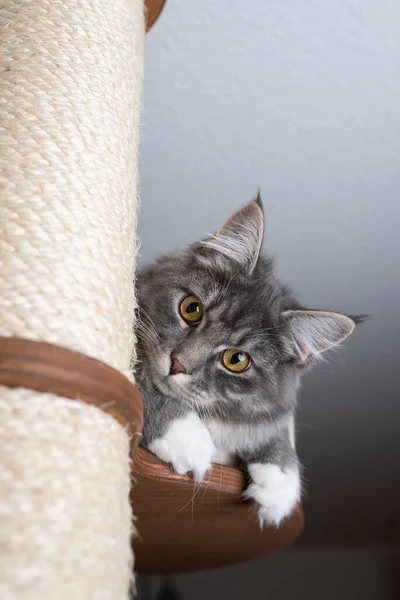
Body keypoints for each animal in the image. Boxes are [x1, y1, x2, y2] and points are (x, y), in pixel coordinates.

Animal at [136, 197, 360, 524]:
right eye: (191, 309)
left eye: (237, 359)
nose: (177, 364)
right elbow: (142, 382)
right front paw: (185, 435)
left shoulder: (274, 411)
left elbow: (275, 431)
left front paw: (280, 480)